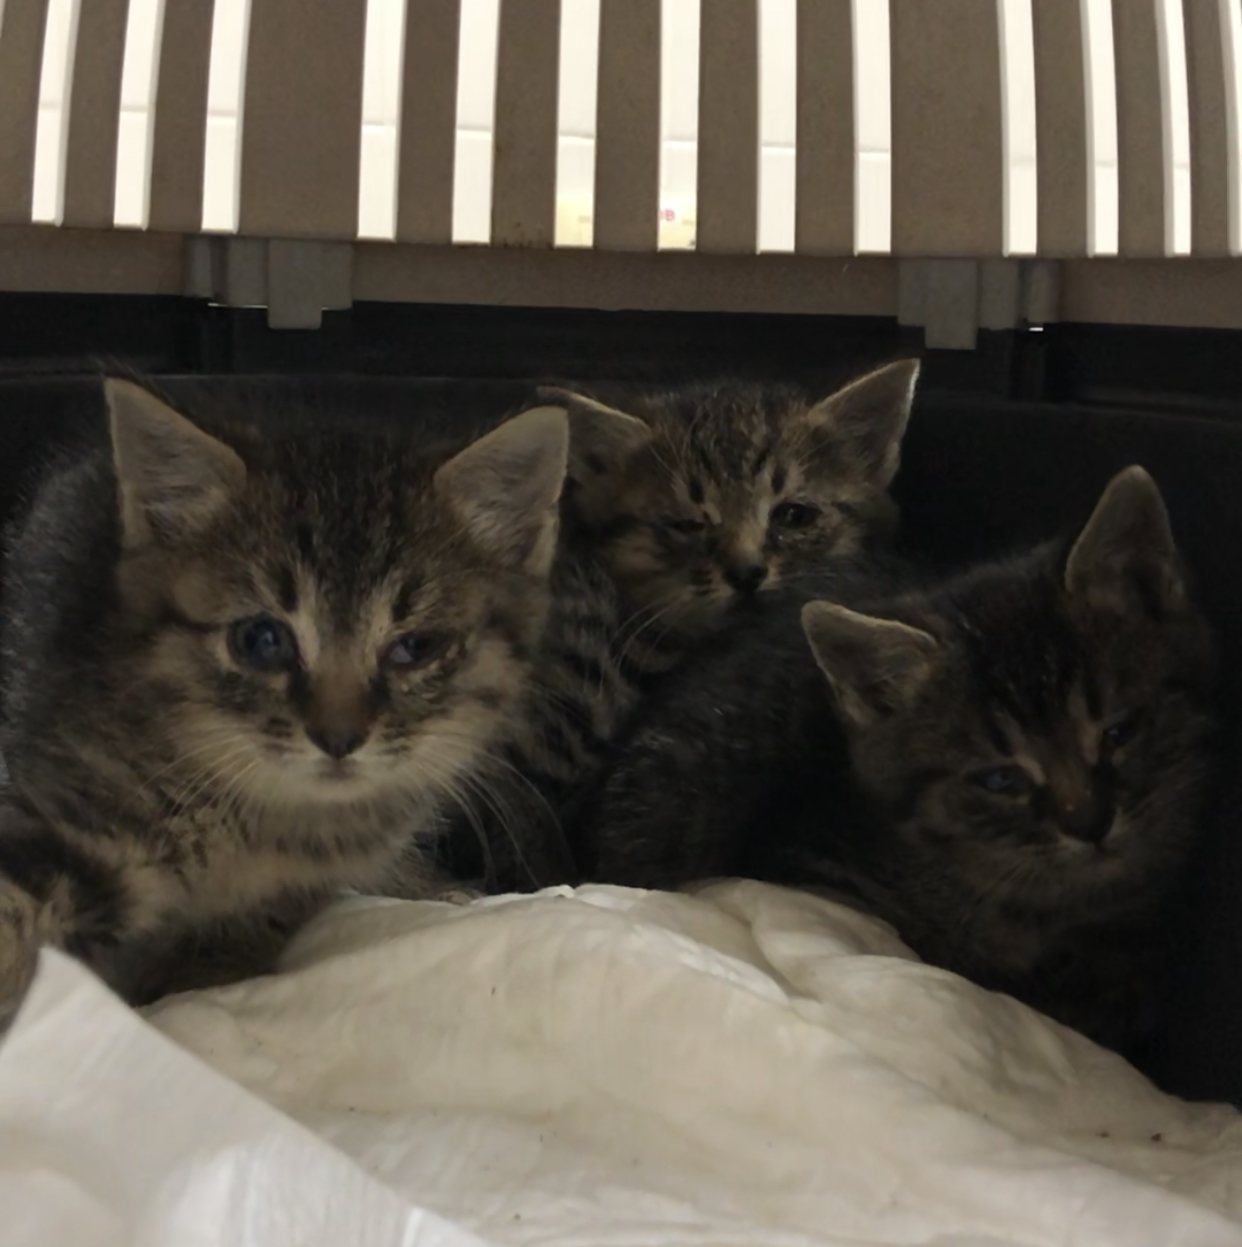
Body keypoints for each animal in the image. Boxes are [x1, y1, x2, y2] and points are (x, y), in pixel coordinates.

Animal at [0, 378, 570, 1017]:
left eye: (415, 648)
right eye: (262, 640)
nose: (339, 738)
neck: (266, 819)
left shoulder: (291, 891)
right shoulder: (82, 812)